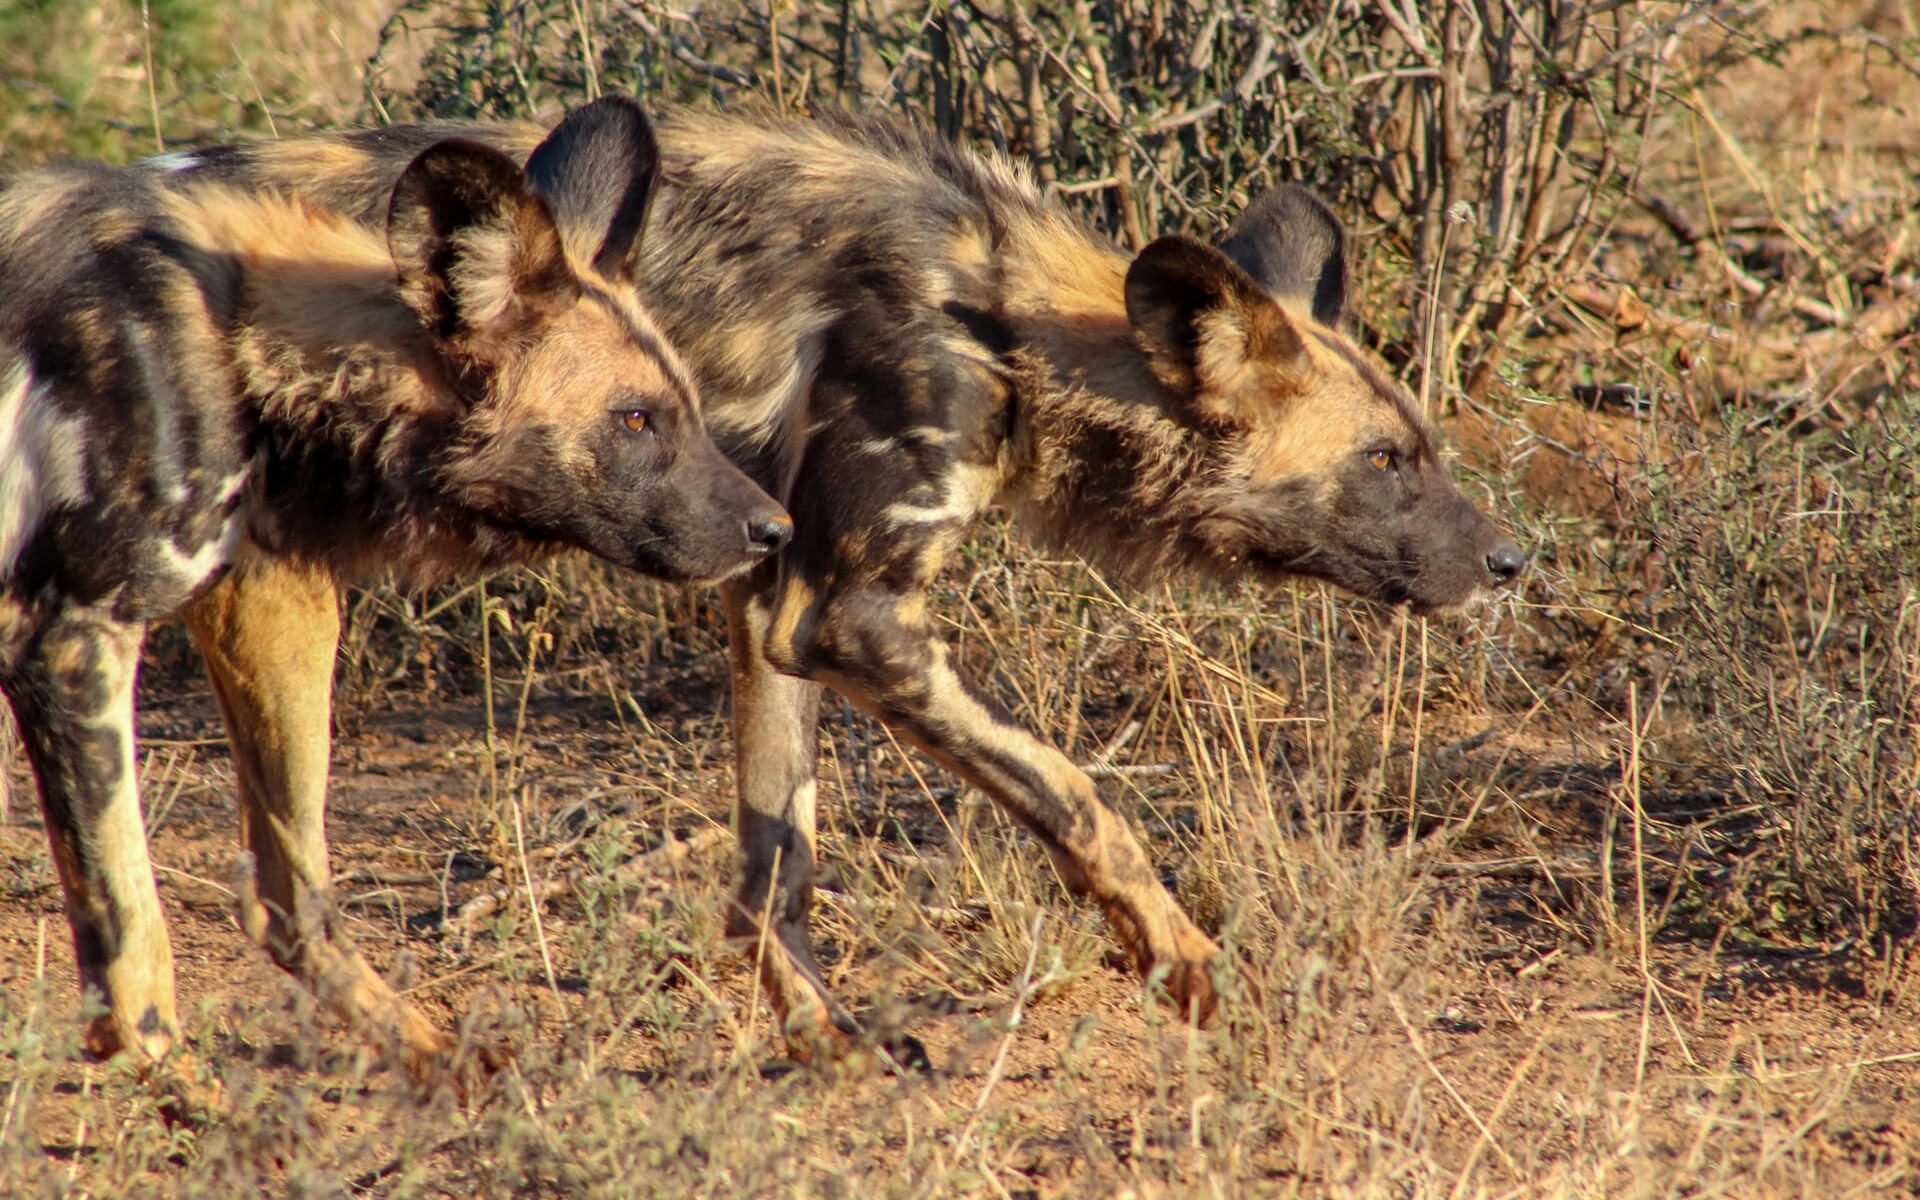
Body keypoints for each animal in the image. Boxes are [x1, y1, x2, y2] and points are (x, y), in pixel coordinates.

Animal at [0, 98, 791, 1075]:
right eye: (636, 419)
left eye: (684, 408)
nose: (776, 529)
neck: (236, 341)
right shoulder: (71, 637)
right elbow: (134, 953)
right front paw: (182, 1096)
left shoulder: (256, 598)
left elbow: (293, 893)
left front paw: (441, 1063)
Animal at [157, 102, 1520, 1059]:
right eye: (1387, 462)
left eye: (1423, 447)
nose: (1513, 558)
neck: (1003, 319)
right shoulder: (857, 618)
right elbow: (1083, 801)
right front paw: (1185, 962)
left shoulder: (774, 591)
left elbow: (776, 870)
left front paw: (825, 1039)